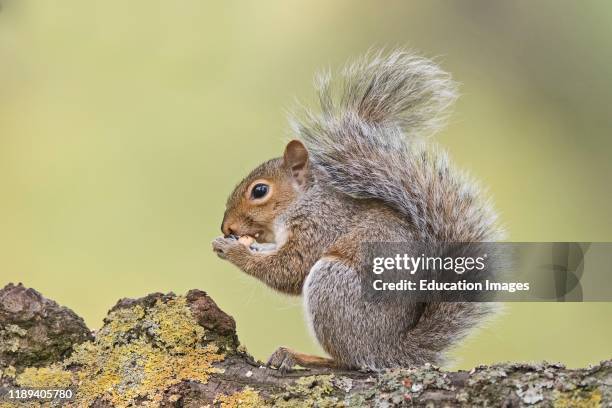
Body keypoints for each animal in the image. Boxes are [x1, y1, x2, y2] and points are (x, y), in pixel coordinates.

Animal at [213, 50, 504, 372]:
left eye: (260, 191)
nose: (227, 228)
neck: (305, 201)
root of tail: (391, 351)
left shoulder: (321, 226)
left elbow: (290, 268)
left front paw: (234, 251)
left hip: (333, 285)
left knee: (348, 360)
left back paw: (301, 356)